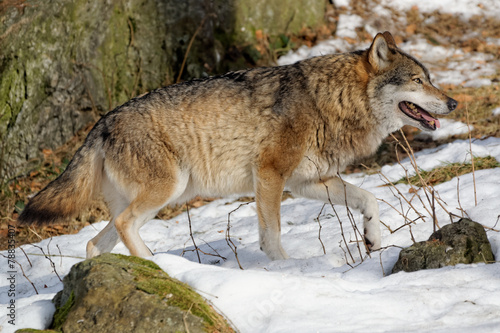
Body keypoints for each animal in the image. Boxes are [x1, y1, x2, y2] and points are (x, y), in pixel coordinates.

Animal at [18, 31, 458, 260]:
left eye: (430, 79)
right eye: (418, 81)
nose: (453, 102)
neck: (329, 100)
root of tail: (102, 123)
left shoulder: (307, 182)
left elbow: (370, 199)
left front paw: (372, 240)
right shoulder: (270, 175)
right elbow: (272, 236)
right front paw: (283, 270)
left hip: (146, 202)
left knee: (94, 243)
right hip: (167, 191)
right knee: (123, 228)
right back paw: (162, 269)